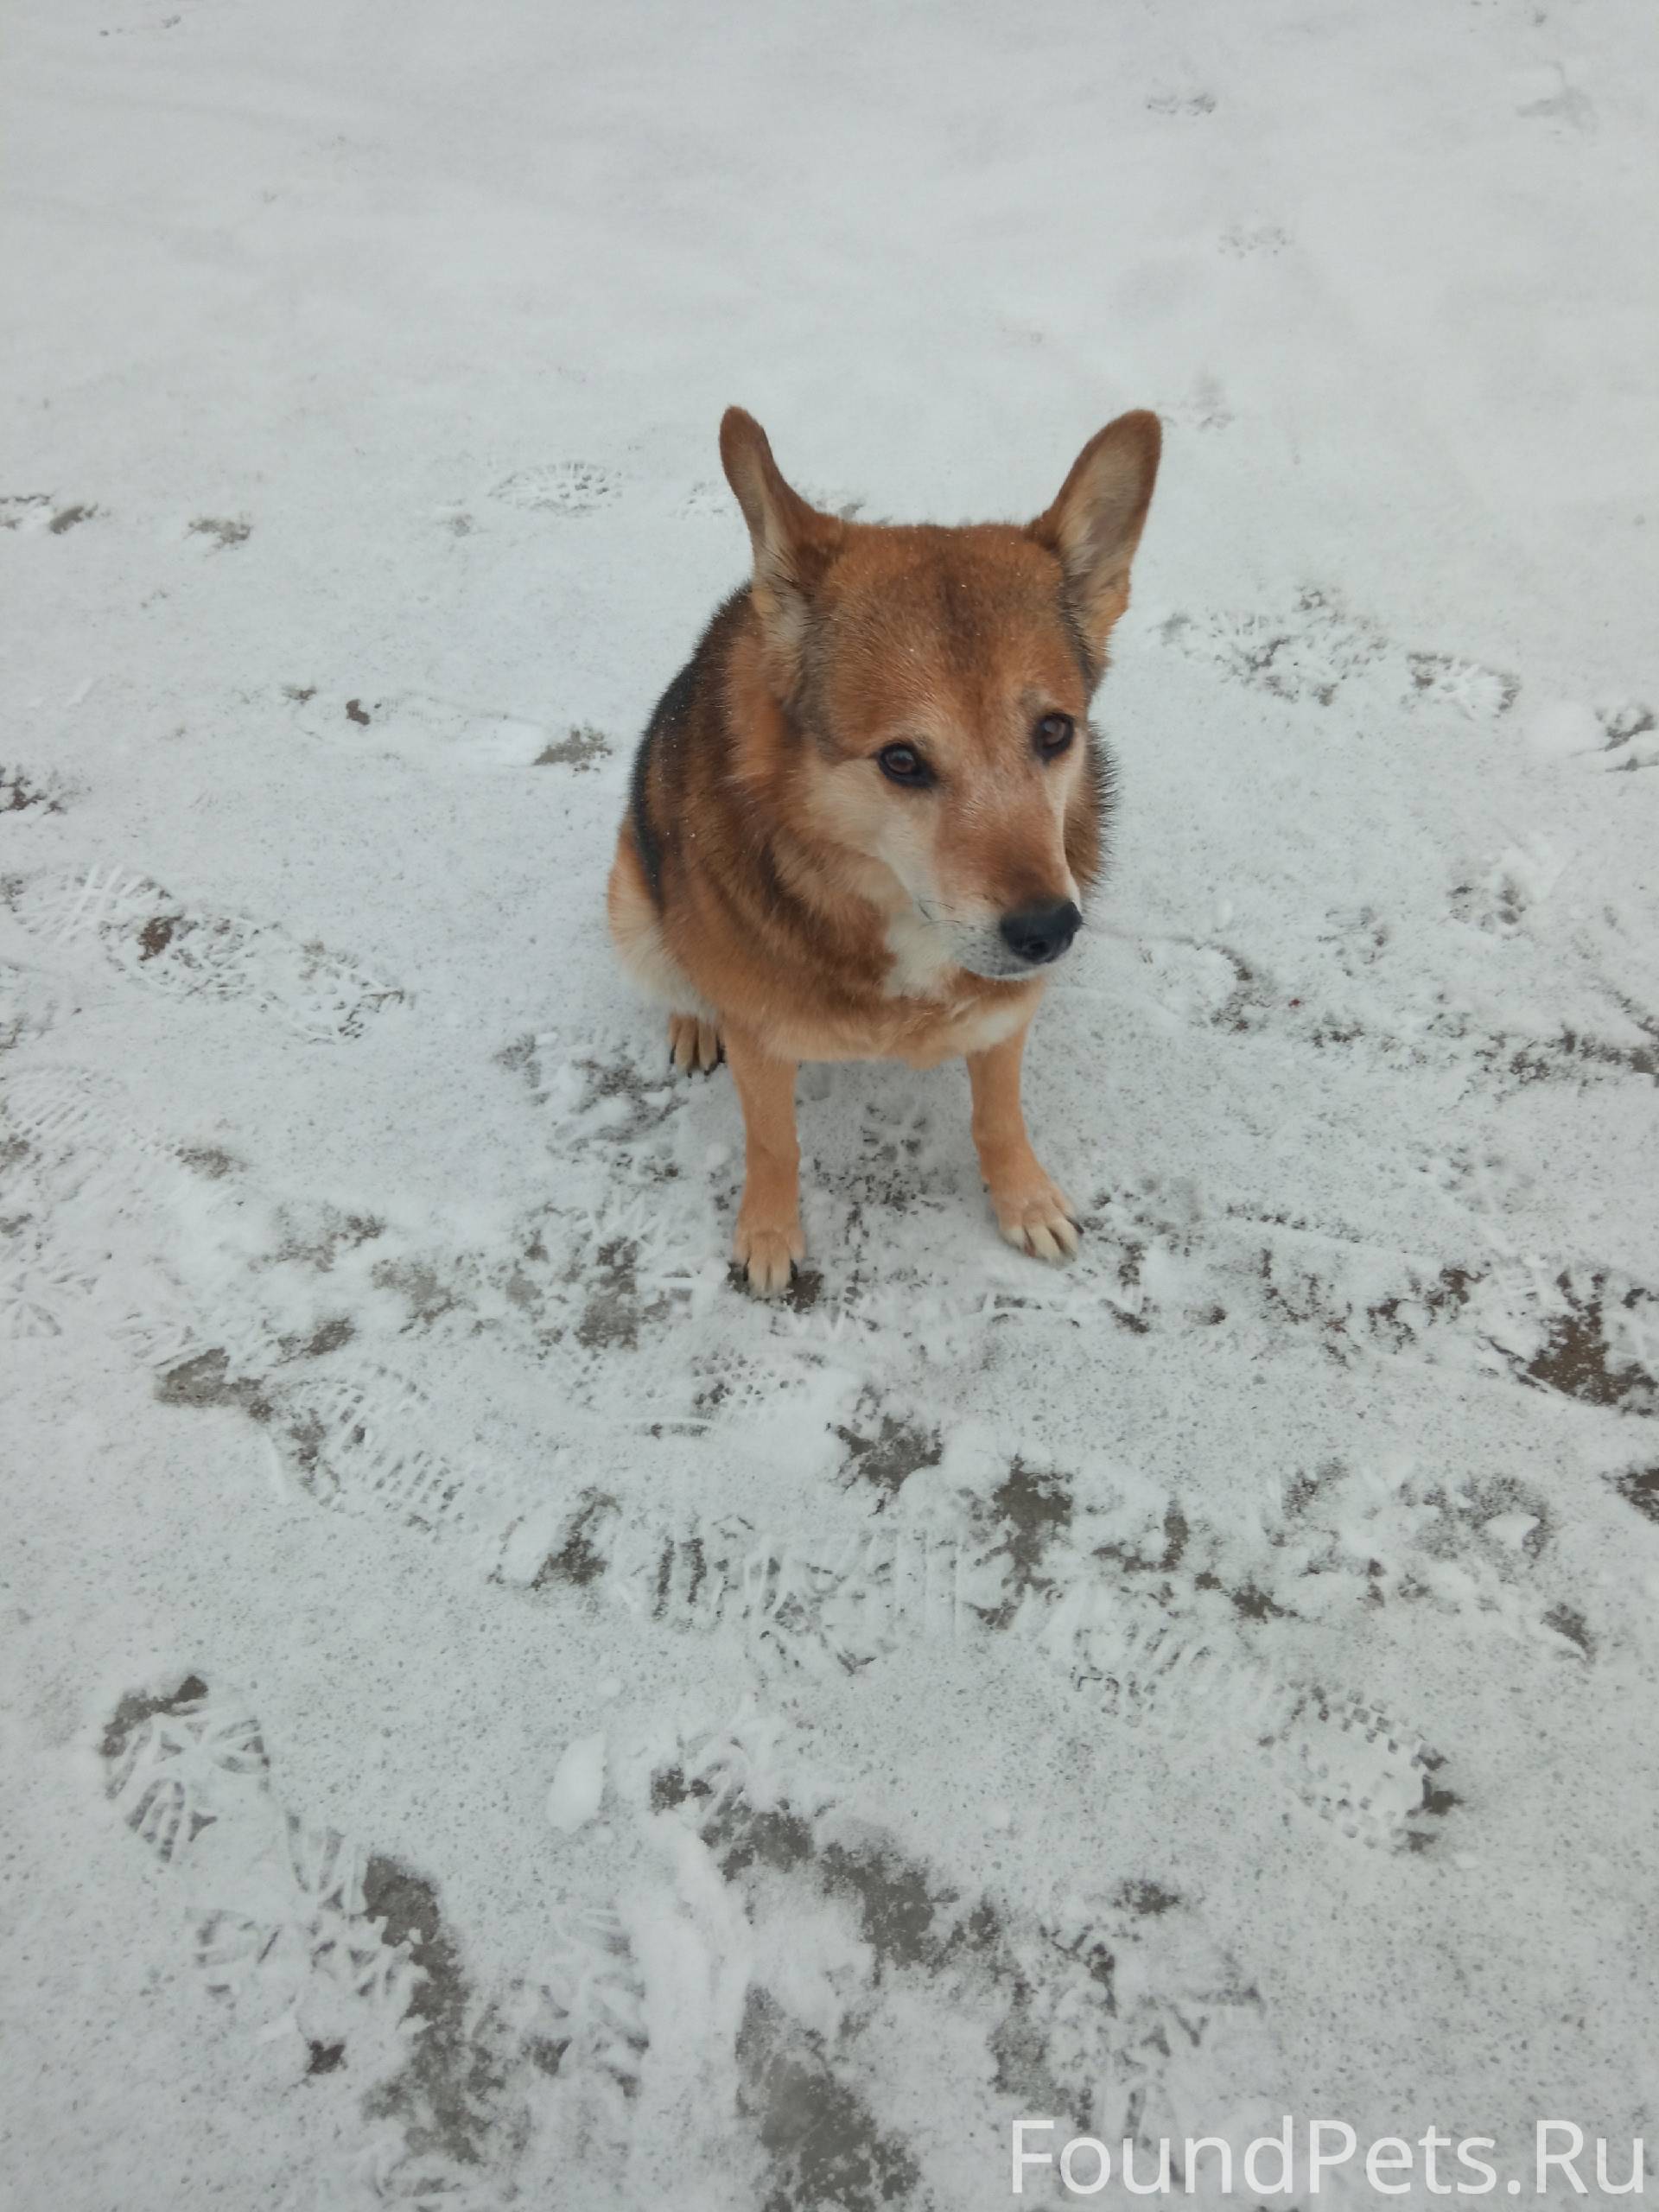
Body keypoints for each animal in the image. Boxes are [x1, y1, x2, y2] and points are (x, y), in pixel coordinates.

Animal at [608, 405, 1161, 1294]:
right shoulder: (762, 1042)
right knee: (675, 969)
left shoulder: (1005, 1017)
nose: (1048, 932)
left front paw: (1024, 1199)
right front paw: (769, 1234)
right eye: (901, 760)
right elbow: (774, 1144)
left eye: (1055, 732)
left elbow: (998, 1117)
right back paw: (693, 1020)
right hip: (630, 898)